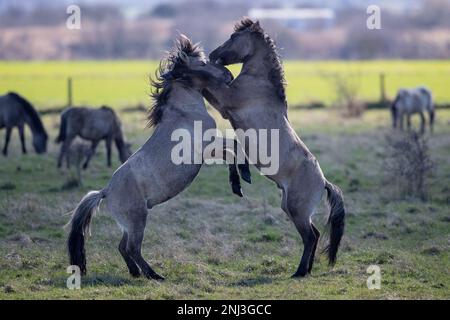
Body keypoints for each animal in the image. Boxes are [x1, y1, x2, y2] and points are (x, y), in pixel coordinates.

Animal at [66, 35, 251, 280]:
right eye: (202, 63)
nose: (228, 75)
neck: (185, 112)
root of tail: (105, 191)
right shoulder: (207, 146)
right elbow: (234, 147)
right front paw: (244, 178)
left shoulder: (209, 149)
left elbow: (231, 152)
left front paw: (237, 185)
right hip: (137, 219)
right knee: (132, 248)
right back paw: (154, 275)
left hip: (130, 224)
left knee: (123, 247)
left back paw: (136, 273)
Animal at [206, 18, 346, 278]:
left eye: (233, 37)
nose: (213, 55)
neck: (260, 83)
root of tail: (324, 182)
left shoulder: (225, 101)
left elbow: (207, 85)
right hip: (290, 208)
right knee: (315, 234)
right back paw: (306, 270)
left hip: (296, 209)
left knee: (310, 237)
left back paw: (299, 272)